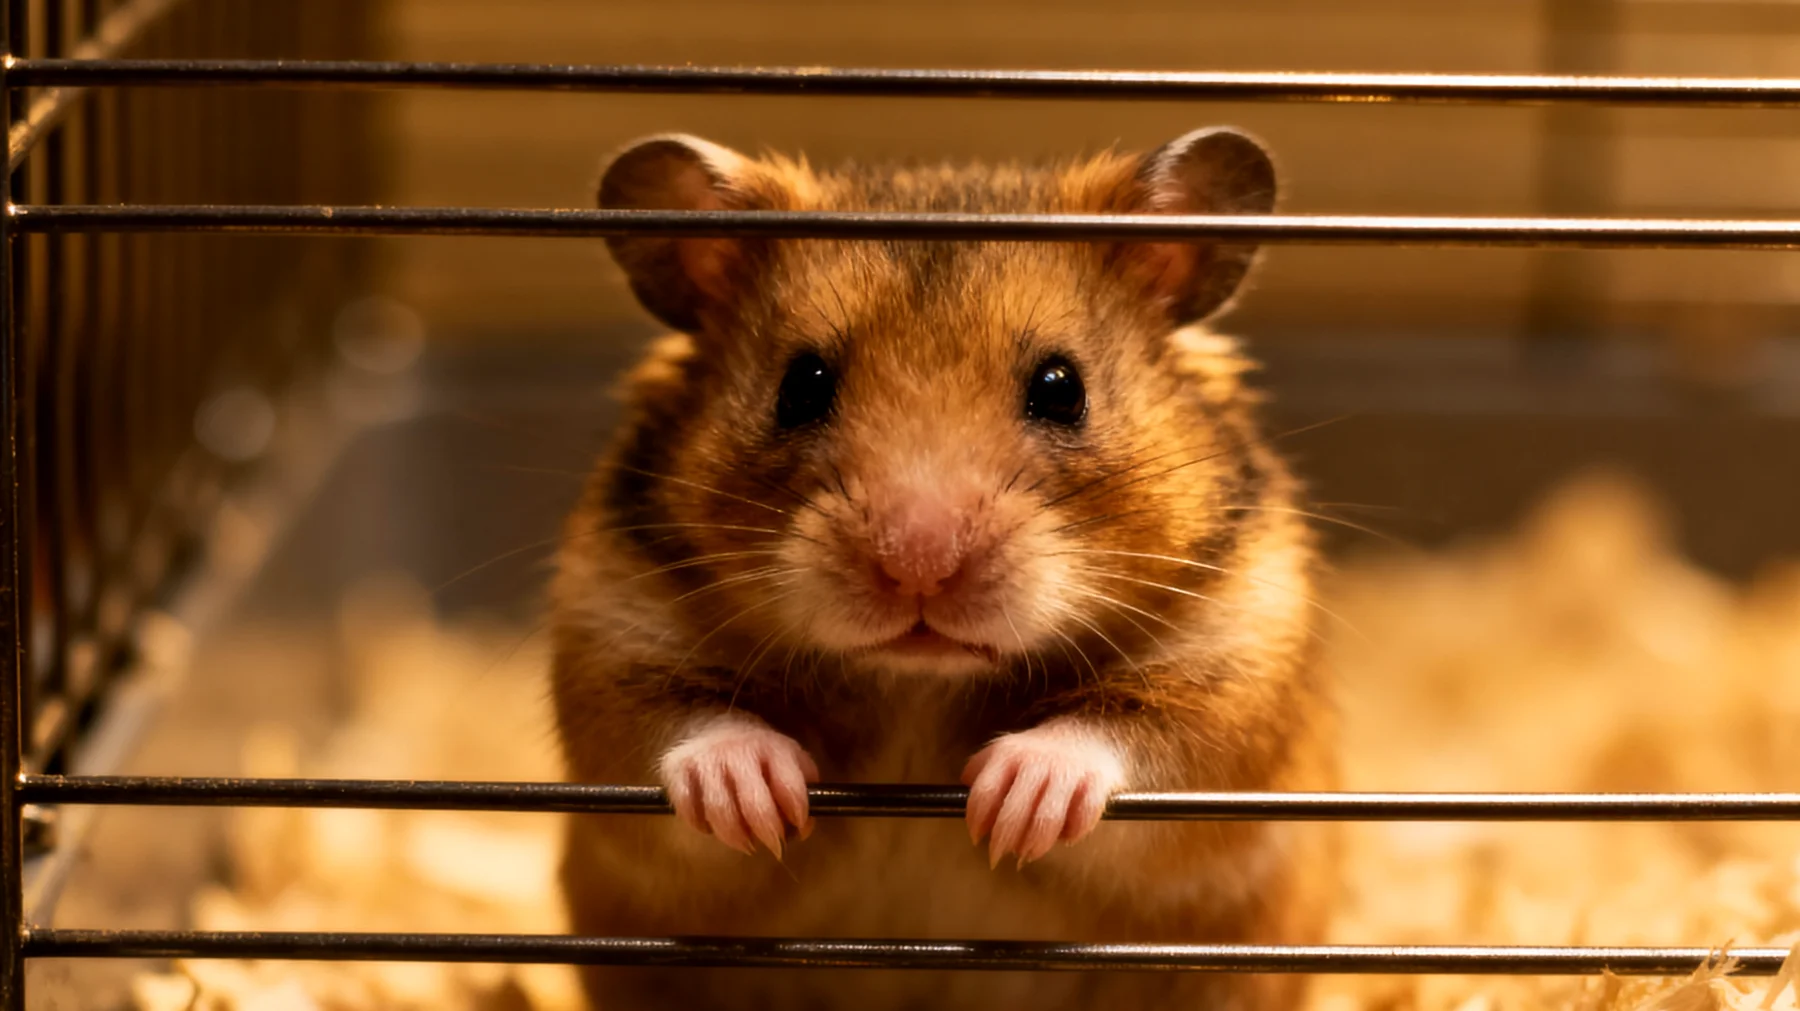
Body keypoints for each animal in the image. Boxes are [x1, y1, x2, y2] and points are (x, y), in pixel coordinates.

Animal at [551, 126, 1338, 1011]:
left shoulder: (1239, 663)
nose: (918, 565)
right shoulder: (609, 632)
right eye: (801, 385)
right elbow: (674, 729)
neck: (918, 685)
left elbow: (1138, 738)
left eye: (1062, 387)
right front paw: (760, 794)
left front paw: (1011, 798)